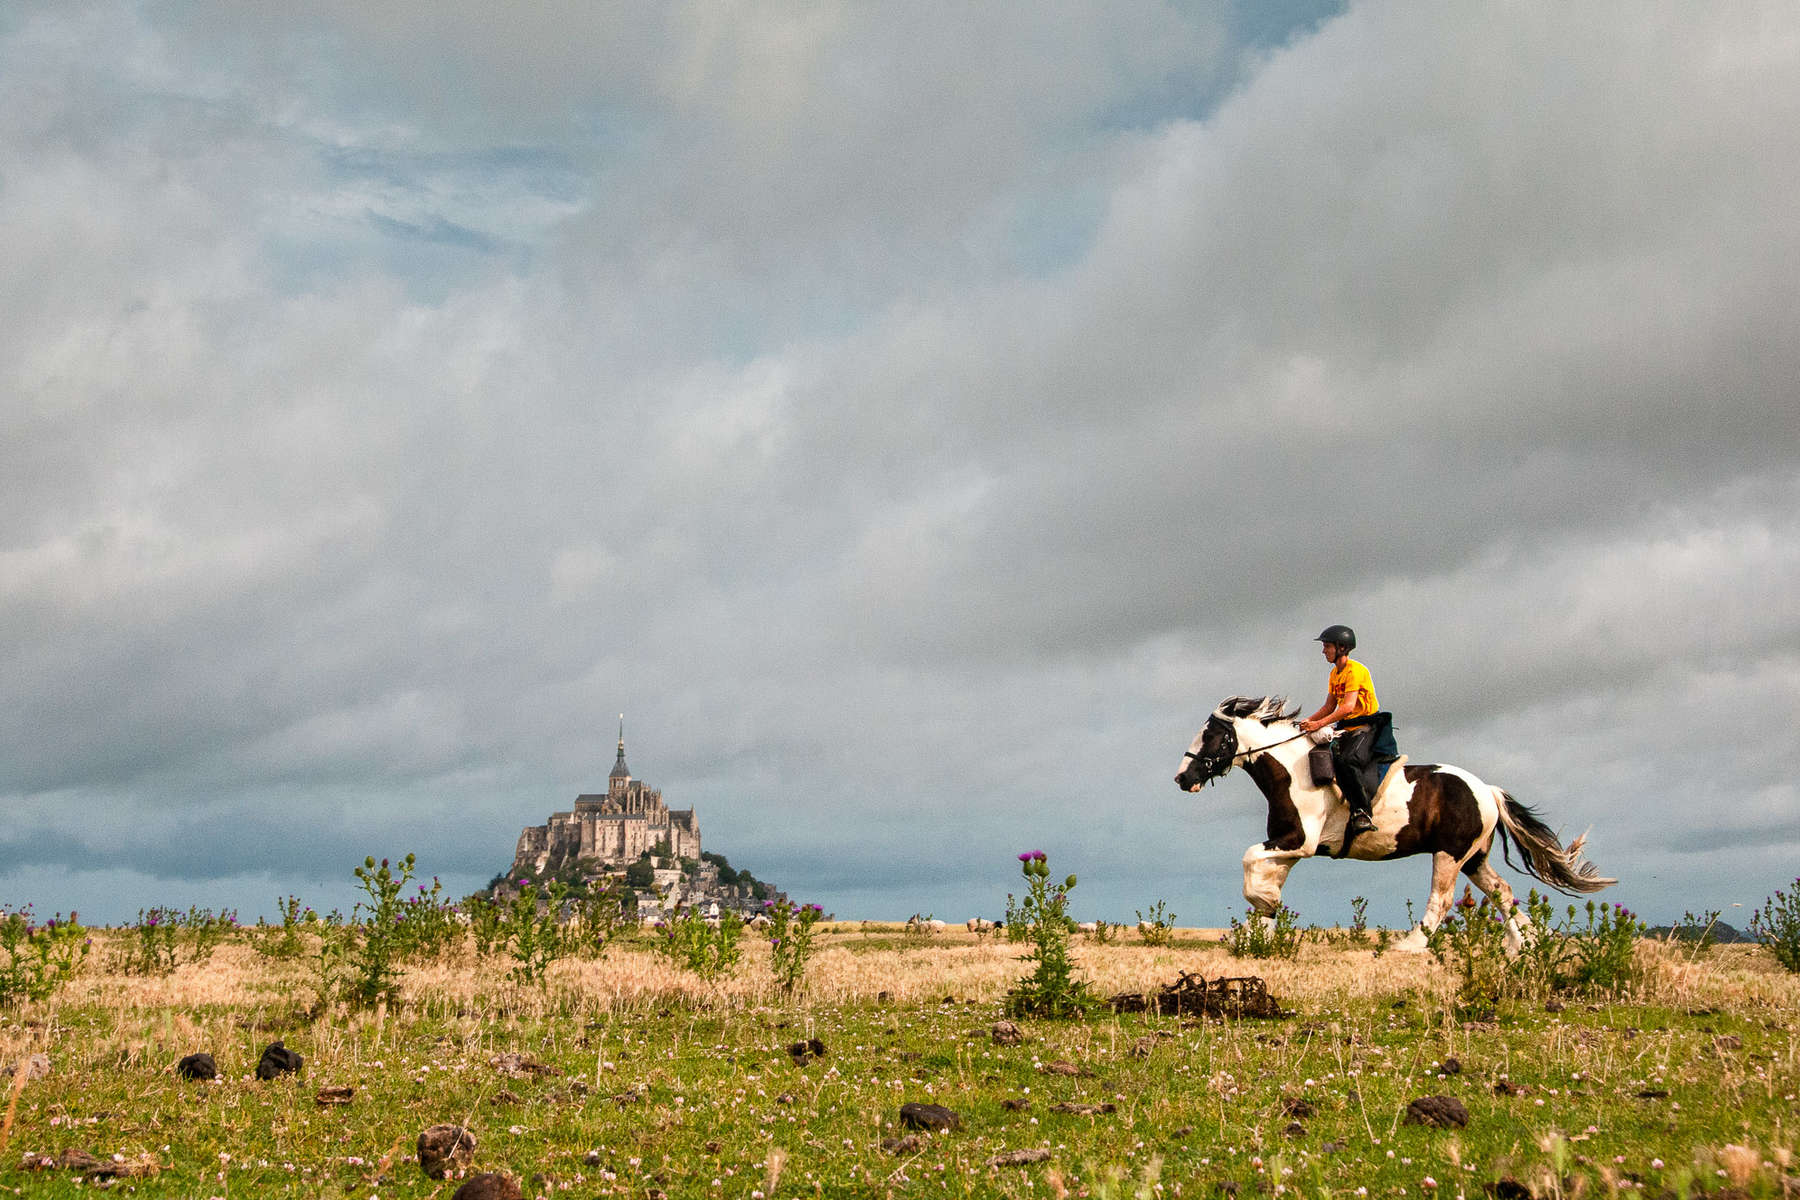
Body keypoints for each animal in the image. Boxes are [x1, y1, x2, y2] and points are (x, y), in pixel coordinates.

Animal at [1166, 698, 1620, 949]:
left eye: (1210, 736)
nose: (1182, 779)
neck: (1291, 769)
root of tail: (1487, 790)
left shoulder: (1300, 841)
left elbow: (1249, 860)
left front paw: (1262, 910)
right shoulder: (1285, 842)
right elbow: (1265, 872)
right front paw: (1260, 922)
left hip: (1449, 854)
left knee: (1442, 899)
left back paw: (1412, 944)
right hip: (1473, 858)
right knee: (1503, 892)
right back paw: (1524, 945)